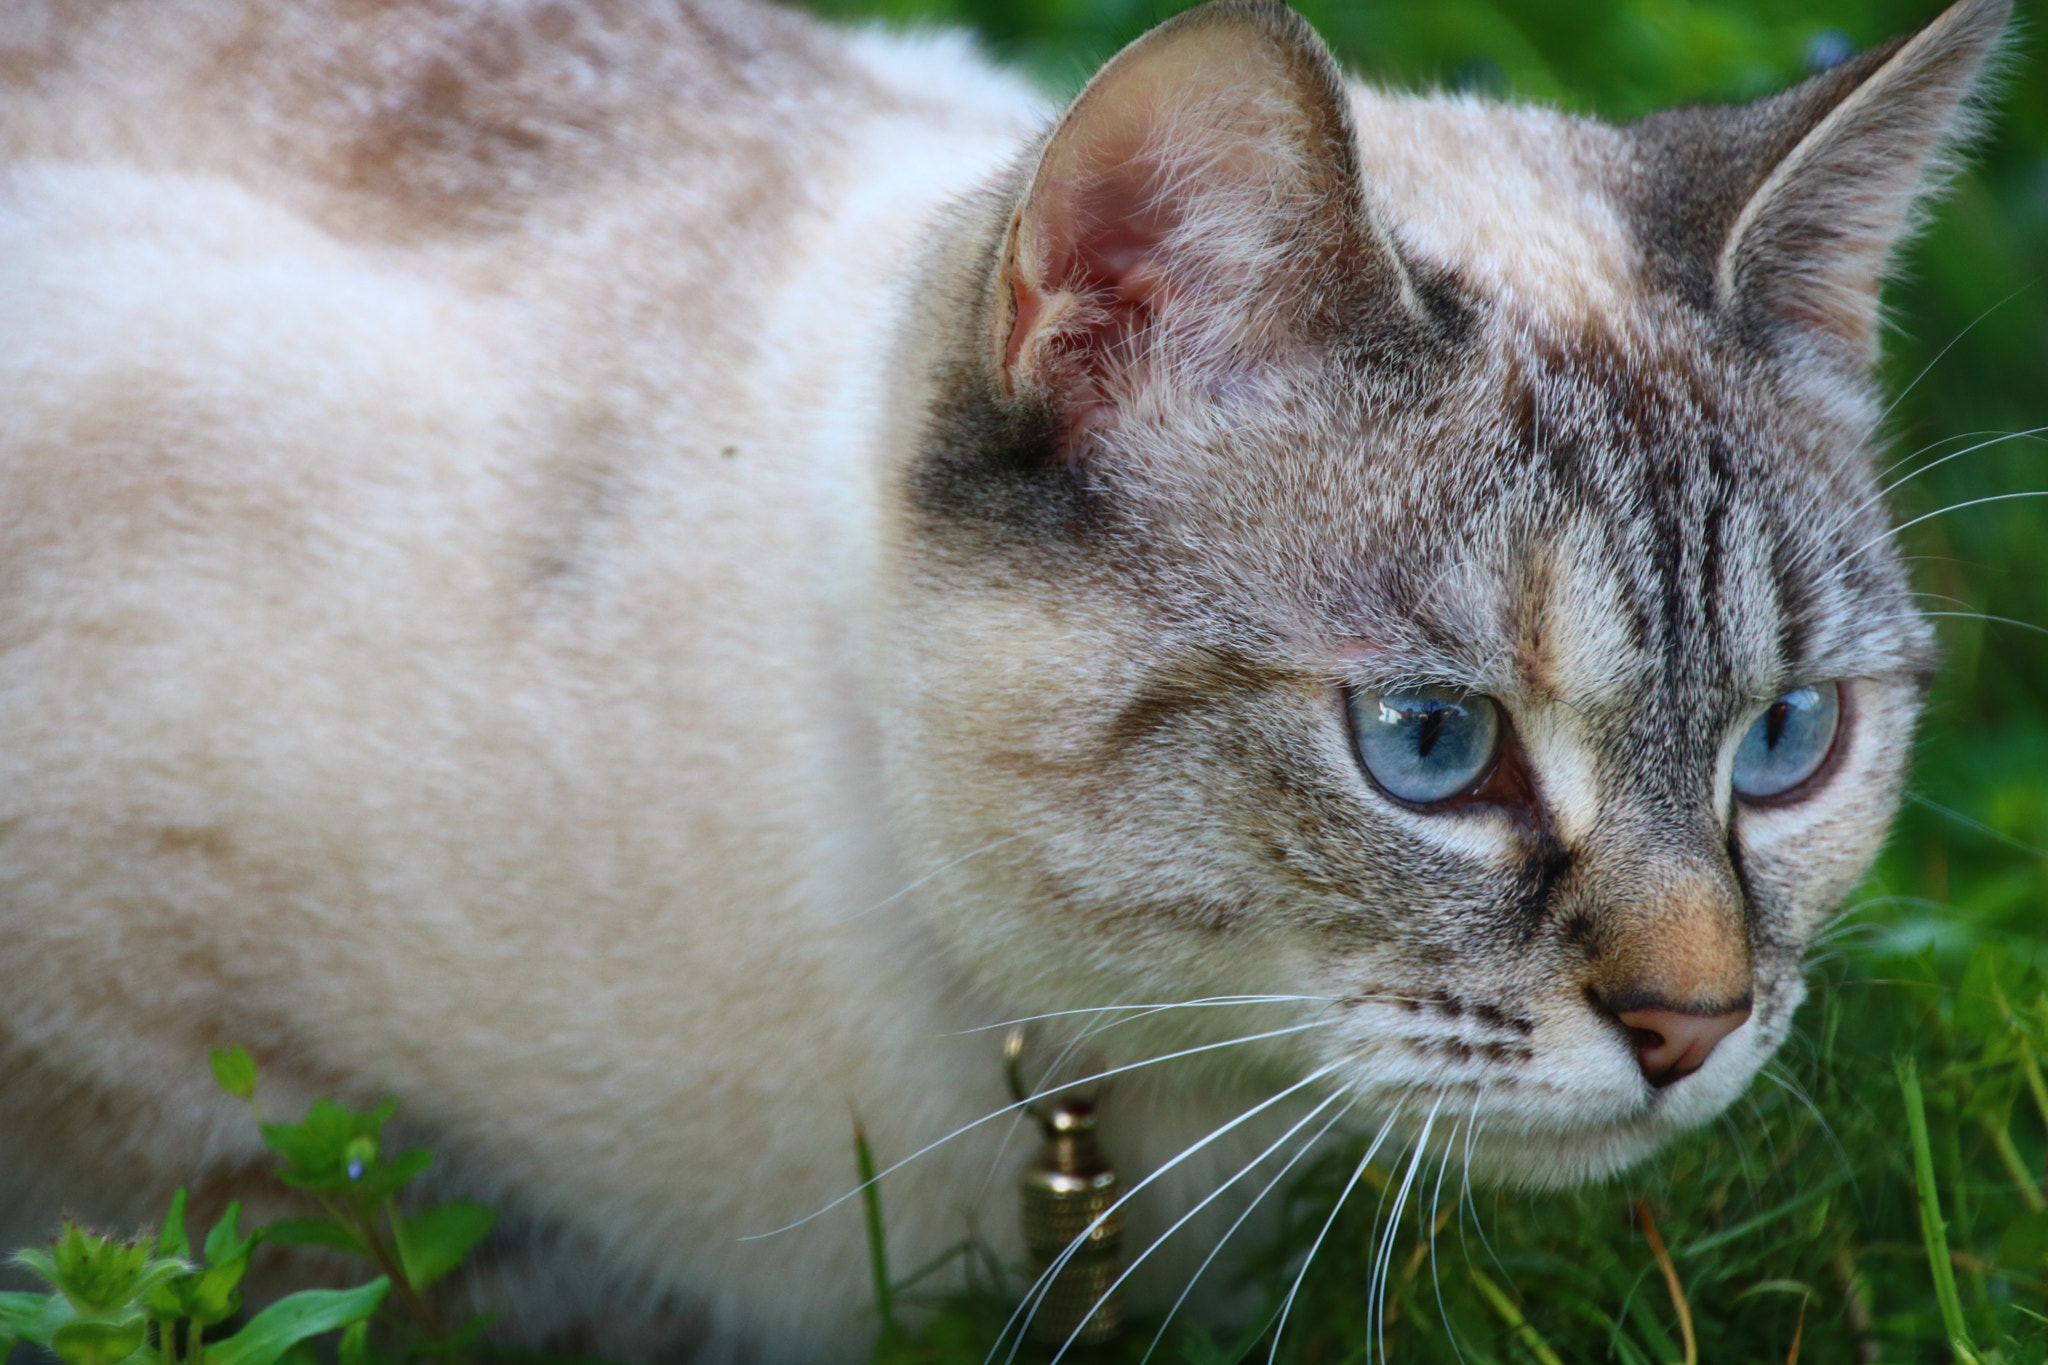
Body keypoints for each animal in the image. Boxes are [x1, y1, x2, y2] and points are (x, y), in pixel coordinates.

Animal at [0, 0, 2015, 1358]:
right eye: (1431, 746)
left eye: (1787, 740)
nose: (1695, 1028)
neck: (1085, 1084)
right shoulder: (167, 1071)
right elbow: (383, 1264)